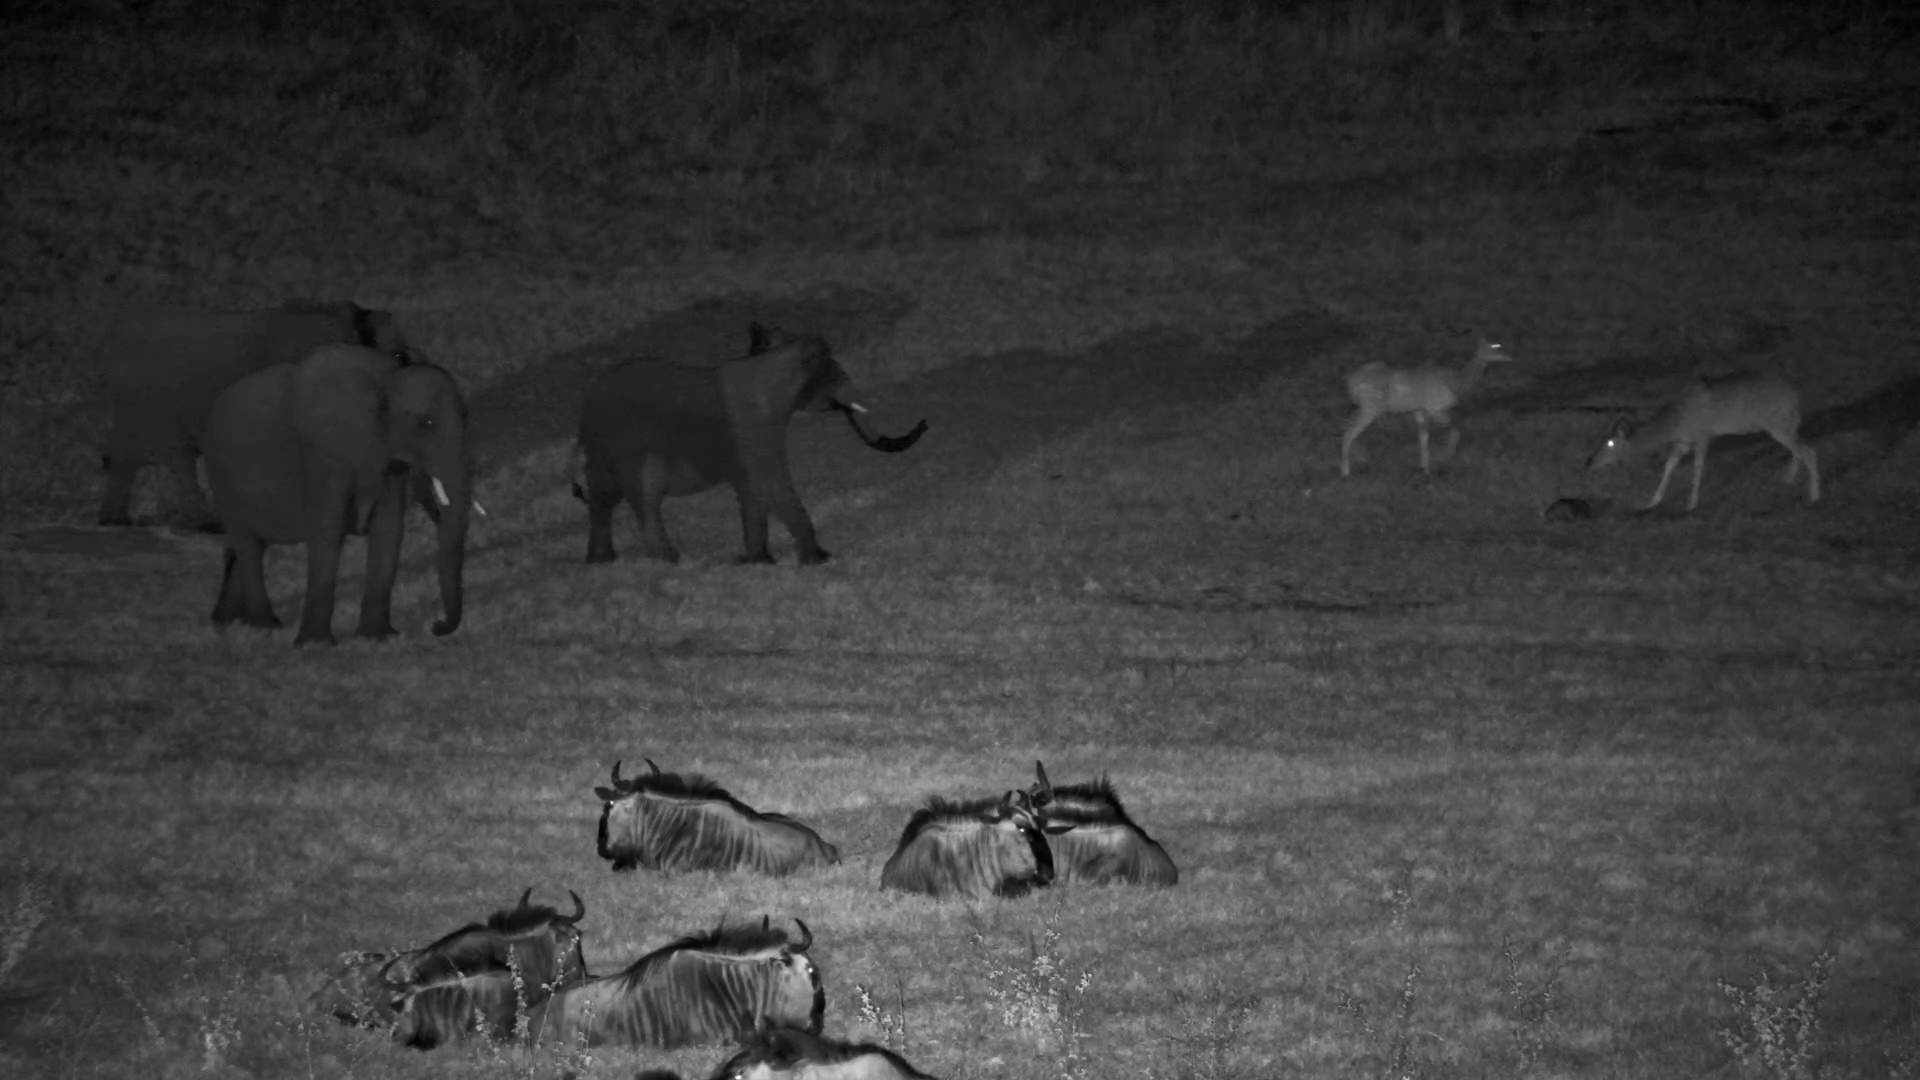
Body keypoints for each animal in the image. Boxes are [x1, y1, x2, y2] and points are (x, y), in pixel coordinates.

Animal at [96, 299, 411, 531]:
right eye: (398, 357)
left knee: (124, 459)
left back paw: (114, 521)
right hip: (155, 404)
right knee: (175, 458)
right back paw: (205, 524)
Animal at [203, 344, 471, 646]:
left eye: (466, 416)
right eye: (426, 422)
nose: (436, 626)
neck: (385, 378)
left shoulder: (386, 457)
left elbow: (389, 529)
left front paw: (377, 638)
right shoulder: (322, 456)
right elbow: (327, 531)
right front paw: (315, 645)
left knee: (250, 546)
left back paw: (232, 622)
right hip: (221, 482)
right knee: (246, 544)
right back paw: (267, 627)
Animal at [570, 323, 926, 566]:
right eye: (833, 373)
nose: (924, 423)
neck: (772, 361)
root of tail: (584, 410)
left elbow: (753, 490)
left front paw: (757, 562)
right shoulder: (754, 428)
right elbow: (770, 483)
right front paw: (819, 560)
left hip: (603, 449)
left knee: (604, 498)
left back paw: (603, 561)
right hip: (628, 447)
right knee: (644, 497)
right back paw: (672, 561)